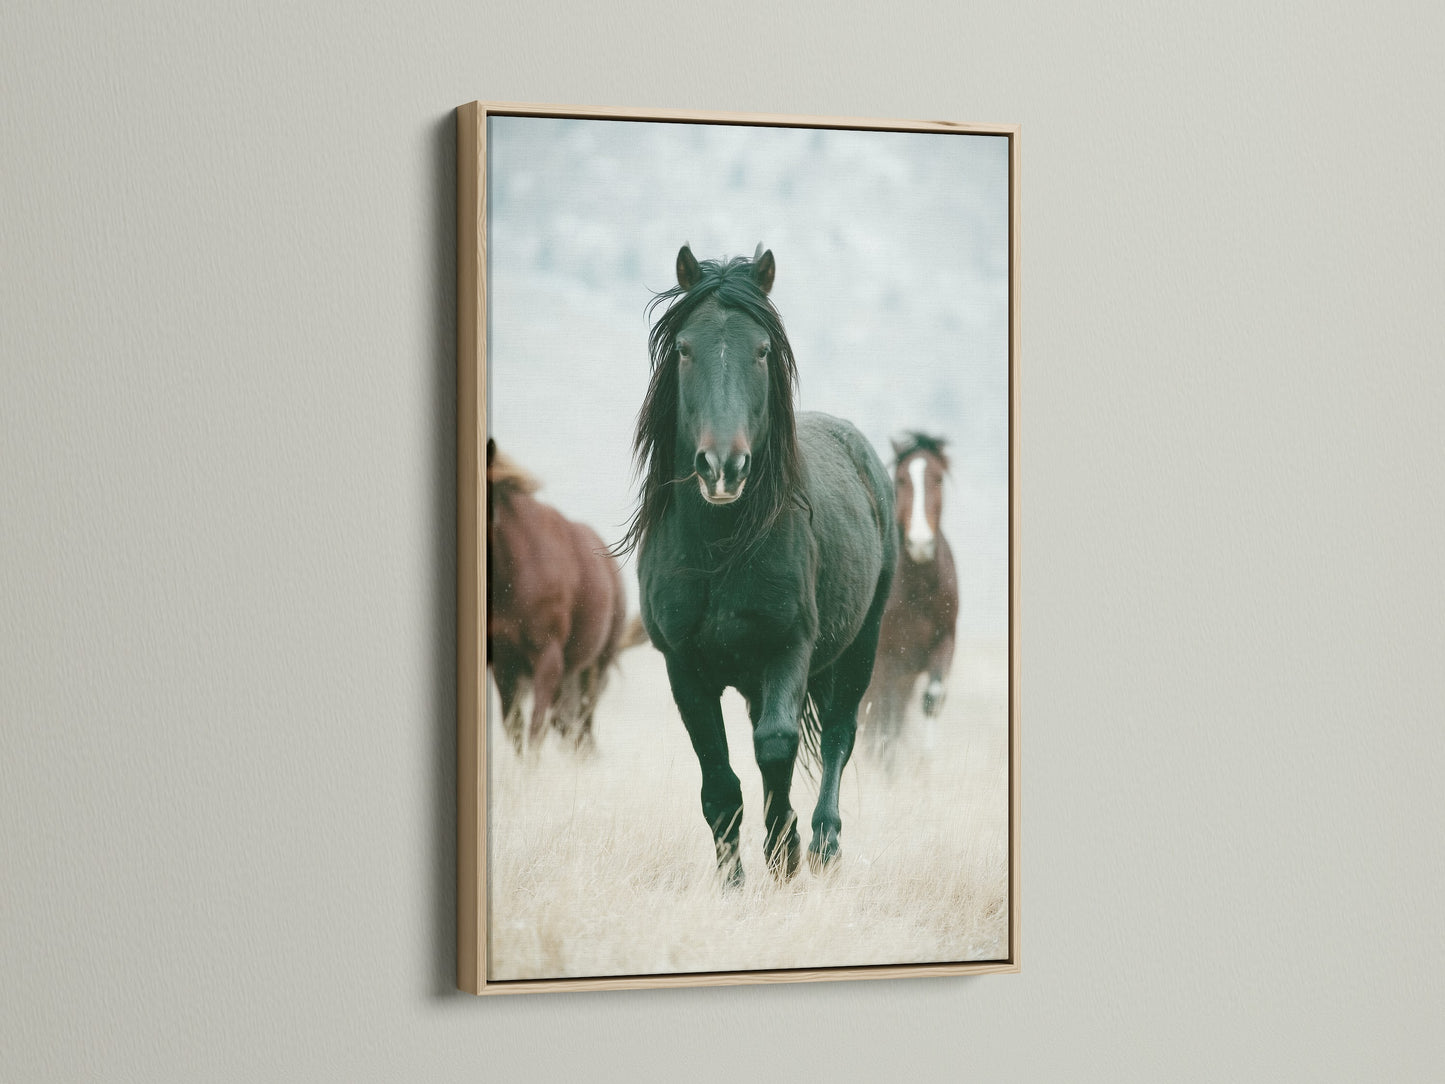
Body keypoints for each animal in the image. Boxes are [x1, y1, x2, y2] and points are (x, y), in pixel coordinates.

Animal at [487, 439, 626, 755]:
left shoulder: (548, 658)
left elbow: (535, 730)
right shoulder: (504, 664)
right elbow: (514, 729)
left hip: (594, 668)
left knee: (581, 725)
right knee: (568, 725)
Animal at [617, 244, 897, 886]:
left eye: (763, 350)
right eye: (685, 348)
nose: (724, 466)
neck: (719, 553)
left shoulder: (788, 648)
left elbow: (776, 745)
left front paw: (785, 853)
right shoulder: (684, 669)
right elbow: (719, 781)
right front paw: (734, 882)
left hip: (861, 644)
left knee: (839, 736)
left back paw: (822, 844)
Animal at [863, 432, 959, 762]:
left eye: (938, 478)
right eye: (902, 479)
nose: (919, 543)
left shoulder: (944, 641)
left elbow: (931, 700)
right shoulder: (886, 661)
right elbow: (883, 721)